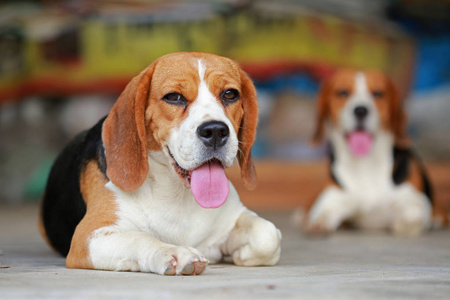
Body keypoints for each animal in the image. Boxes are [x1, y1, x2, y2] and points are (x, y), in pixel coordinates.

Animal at [41, 52, 282, 276]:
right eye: (173, 97)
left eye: (230, 94)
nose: (215, 131)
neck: (178, 195)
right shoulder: (88, 237)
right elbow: (139, 238)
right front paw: (173, 252)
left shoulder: (234, 215)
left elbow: (268, 234)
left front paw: (243, 254)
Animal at [306, 69, 440, 237]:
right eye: (343, 92)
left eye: (378, 93)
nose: (361, 110)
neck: (366, 166)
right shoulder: (330, 201)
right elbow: (319, 215)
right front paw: (317, 225)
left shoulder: (417, 201)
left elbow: (413, 216)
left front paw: (404, 226)